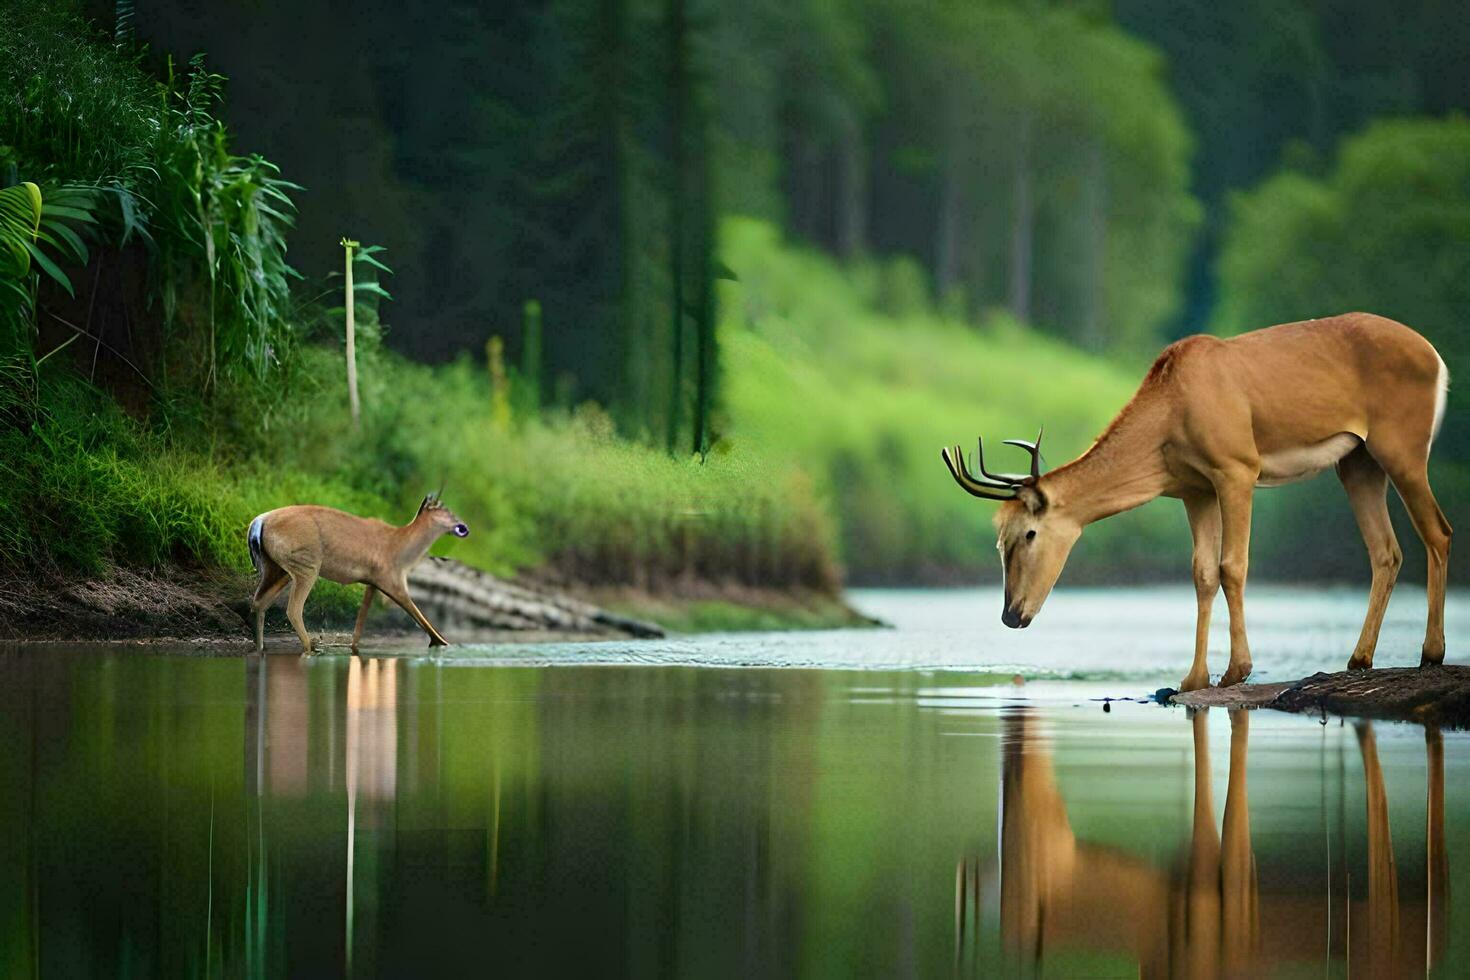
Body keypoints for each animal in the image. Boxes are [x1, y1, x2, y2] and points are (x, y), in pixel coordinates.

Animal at [244, 493, 467, 655]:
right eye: (447, 510)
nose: (463, 527)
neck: (402, 548)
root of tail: (257, 523)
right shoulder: (392, 579)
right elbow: (417, 614)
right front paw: (444, 643)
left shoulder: (372, 582)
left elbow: (360, 623)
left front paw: (354, 649)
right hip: (306, 565)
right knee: (292, 609)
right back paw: (311, 648)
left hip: (276, 567)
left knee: (258, 602)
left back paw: (261, 648)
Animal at [940, 314, 1446, 690]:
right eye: (999, 542)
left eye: (1027, 533)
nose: (1011, 614)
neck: (1170, 410)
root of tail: (1435, 357)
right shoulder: (1195, 489)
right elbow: (1202, 574)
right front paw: (1193, 678)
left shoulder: (1238, 470)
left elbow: (1232, 566)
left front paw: (1236, 671)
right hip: (1357, 463)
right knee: (1387, 551)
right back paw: (1359, 659)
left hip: (1402, 450)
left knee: (1438, 532)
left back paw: (1430, 653)